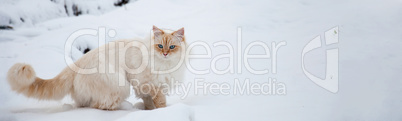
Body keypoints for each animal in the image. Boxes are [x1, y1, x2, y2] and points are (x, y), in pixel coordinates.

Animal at [6, 25, 185, 110]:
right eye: (160, 46)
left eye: (172, 47)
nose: (165, 54)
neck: (166, 64)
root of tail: (75, 64)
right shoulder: (148, 84)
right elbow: (159, 100)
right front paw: (162, 111)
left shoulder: (145, 88)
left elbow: (149, 102)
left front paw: (150, 112)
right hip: (119, 85)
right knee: (100, 106)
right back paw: (125, 108)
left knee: (84, 104)